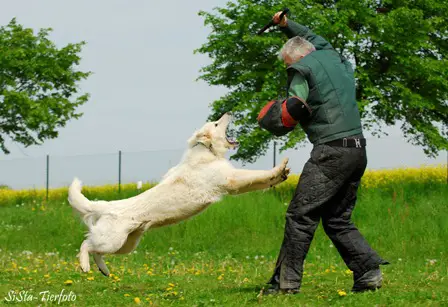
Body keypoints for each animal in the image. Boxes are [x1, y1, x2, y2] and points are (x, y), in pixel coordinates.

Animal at [68, 113, 288, 276]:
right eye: (217, 123)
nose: (229, 112)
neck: (207, 151)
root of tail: (107, 206)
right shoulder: (231, 180)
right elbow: (257, 175)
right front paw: (279, 169)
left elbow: (260, 181)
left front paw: (280, 176)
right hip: (111, 241)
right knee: (86, 244)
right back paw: (85, 265)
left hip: (126, 244)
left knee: (96, 251)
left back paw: (103, 270)